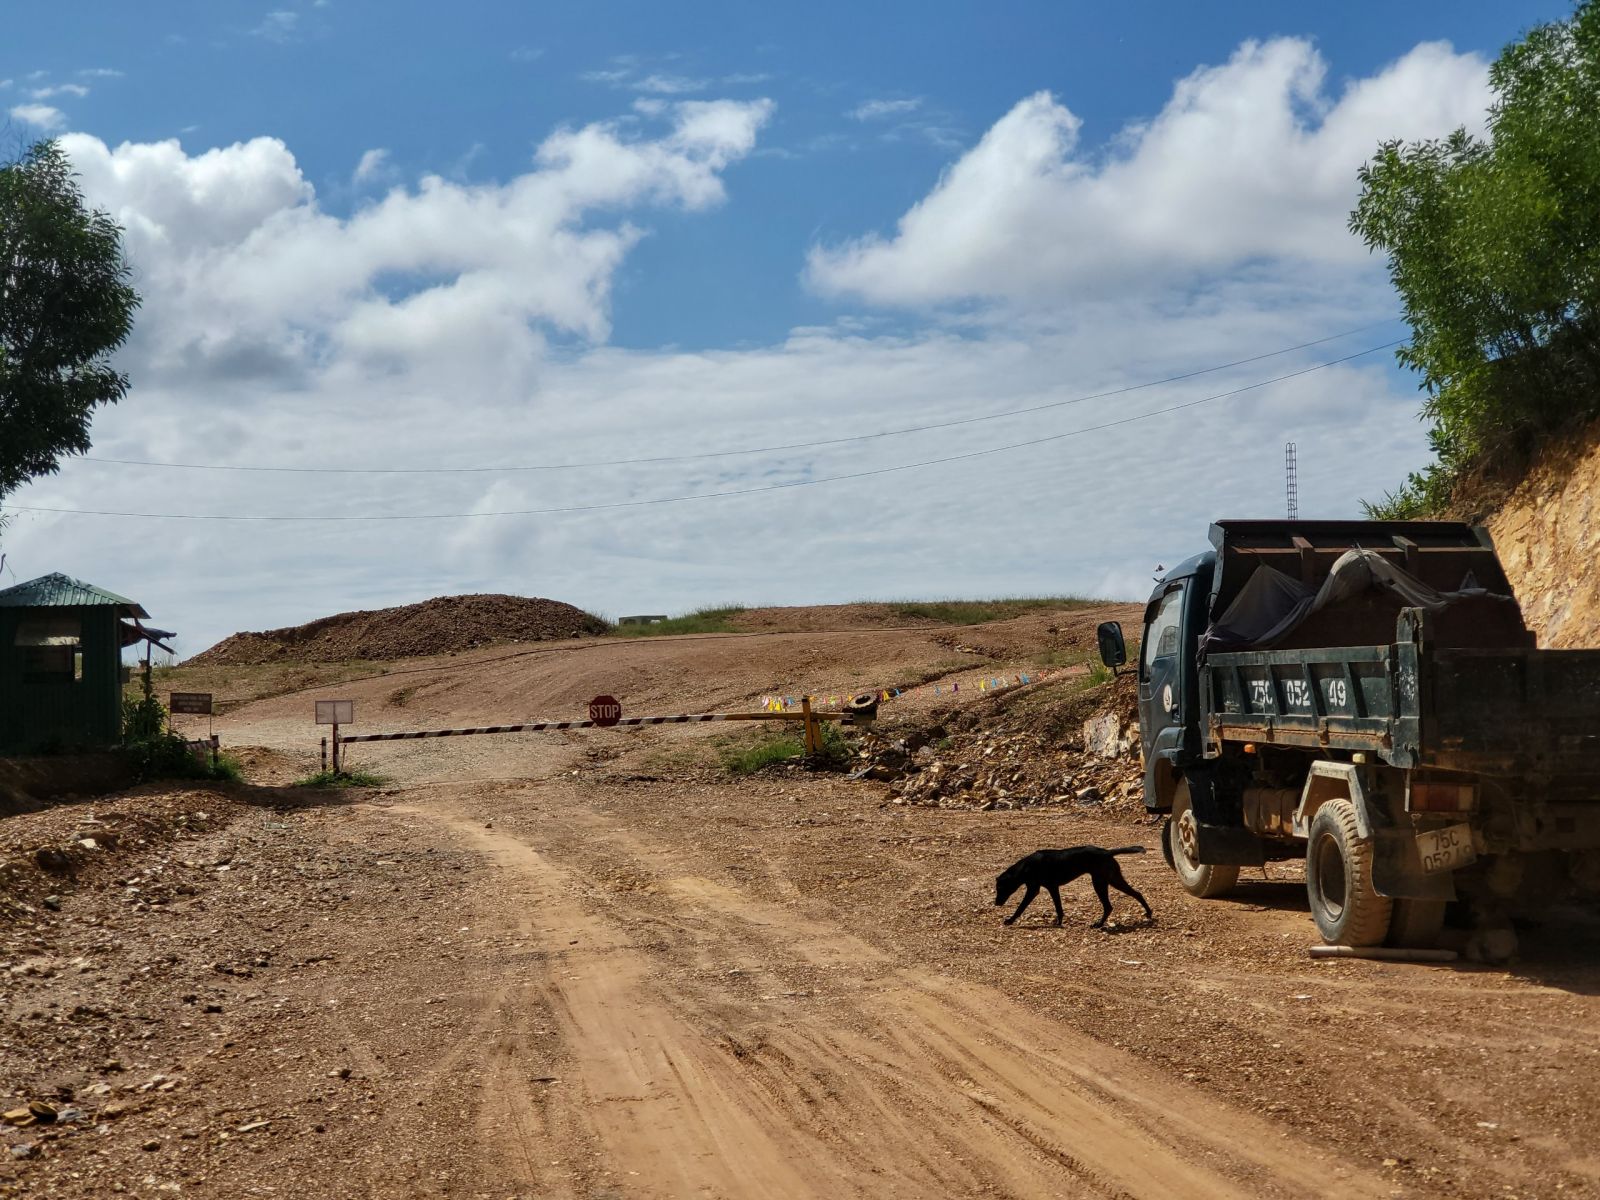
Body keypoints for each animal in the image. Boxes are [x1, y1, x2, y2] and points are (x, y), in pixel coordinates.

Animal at [985, 844, 1152, 928]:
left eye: (1000, 888)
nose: (996, 903)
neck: (1025, 867)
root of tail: (1107, 852)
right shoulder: (1052, 888)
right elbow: (1059, 908)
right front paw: (1059, 923)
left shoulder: (1034, 890)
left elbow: (1021, 907)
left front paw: (1010, 920)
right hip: (1112, 879)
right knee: (1137, 893)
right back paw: (1148, 913)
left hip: (1100, 883)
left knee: (1109, 906)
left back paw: (1098, 924)